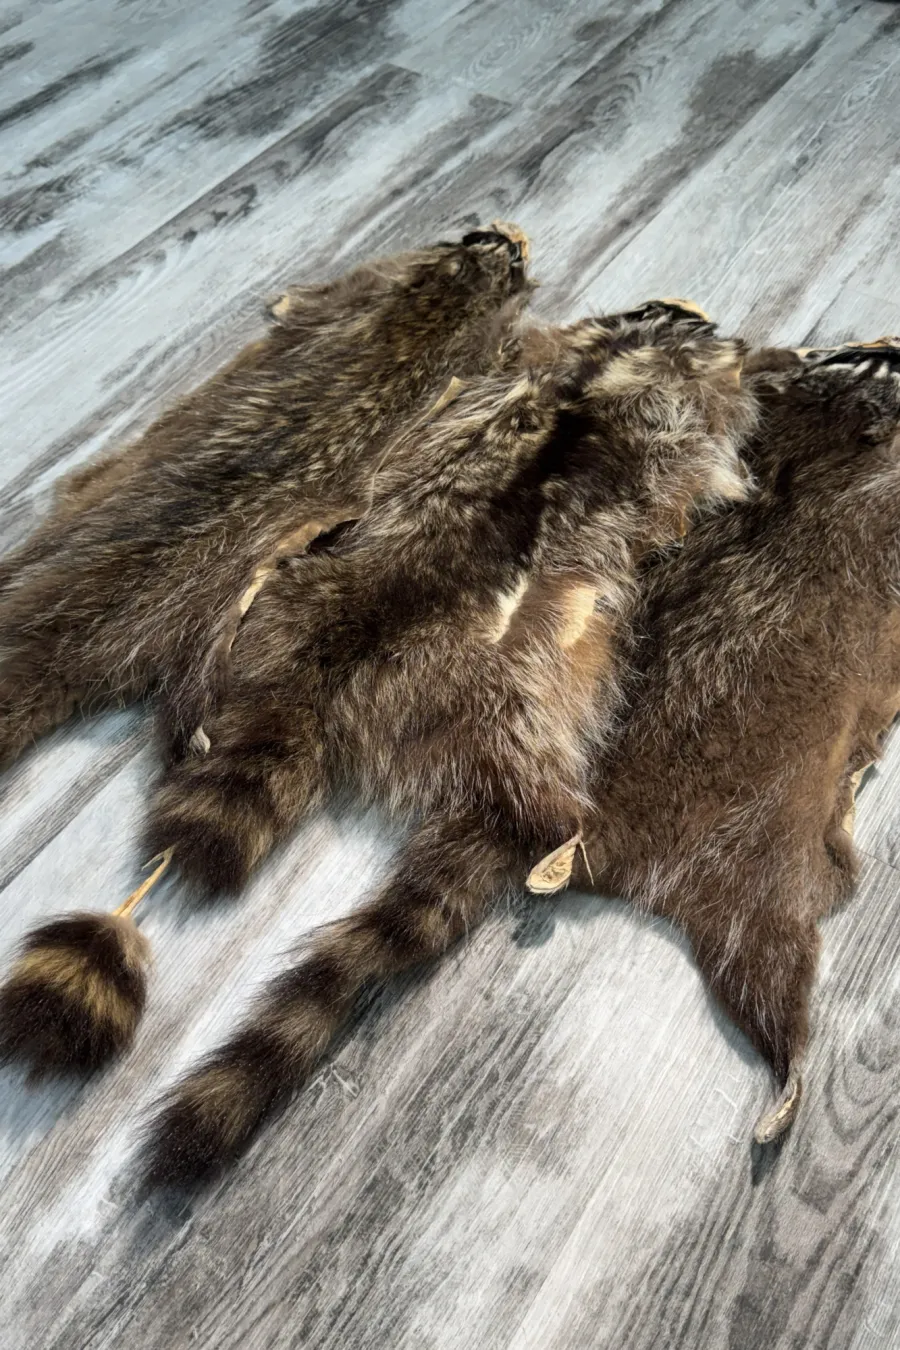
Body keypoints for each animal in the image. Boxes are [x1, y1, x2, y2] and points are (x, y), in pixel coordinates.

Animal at [139, 300, 753, 1183]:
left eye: (658, 311)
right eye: (690, 326)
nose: (726, 333)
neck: (620, 366)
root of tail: (327, 658)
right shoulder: (672, 435)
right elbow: (689, 485)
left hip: (269, 603)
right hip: (516, 714)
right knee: (529, 800)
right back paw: (553, 834)